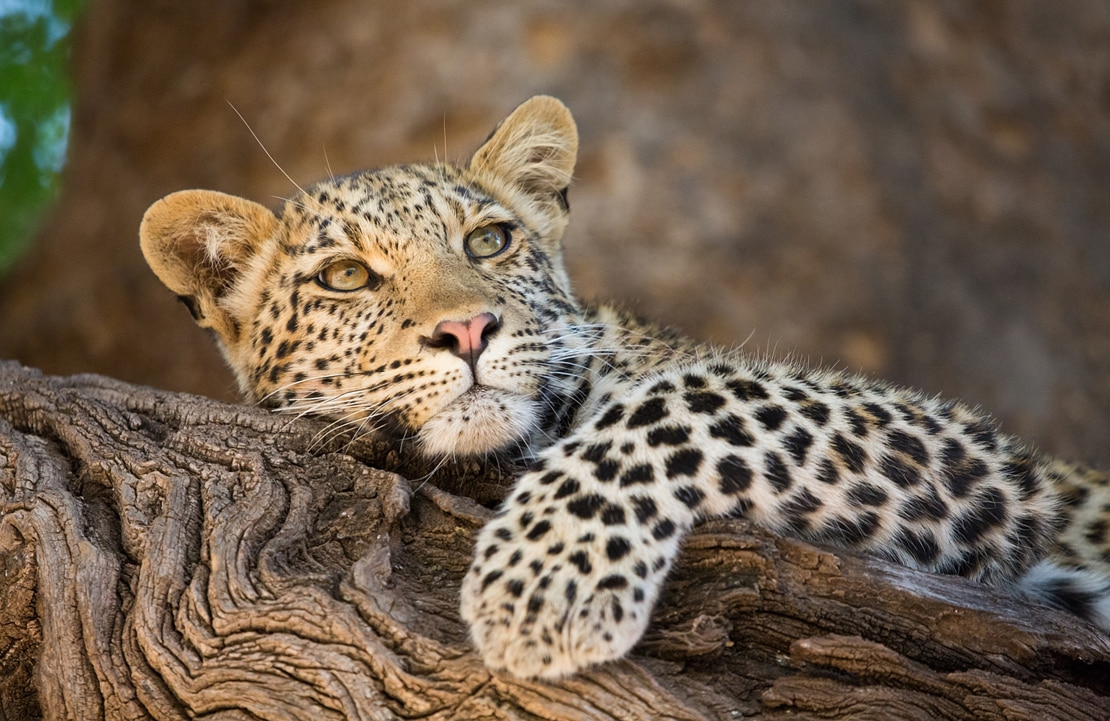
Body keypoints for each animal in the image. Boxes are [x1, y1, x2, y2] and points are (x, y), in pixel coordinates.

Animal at [138, 97, 1110, 678]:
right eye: (344, 277)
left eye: (489, 241)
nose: (469, 331)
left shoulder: (975, 458)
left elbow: (692, 398)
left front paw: (543, 585)